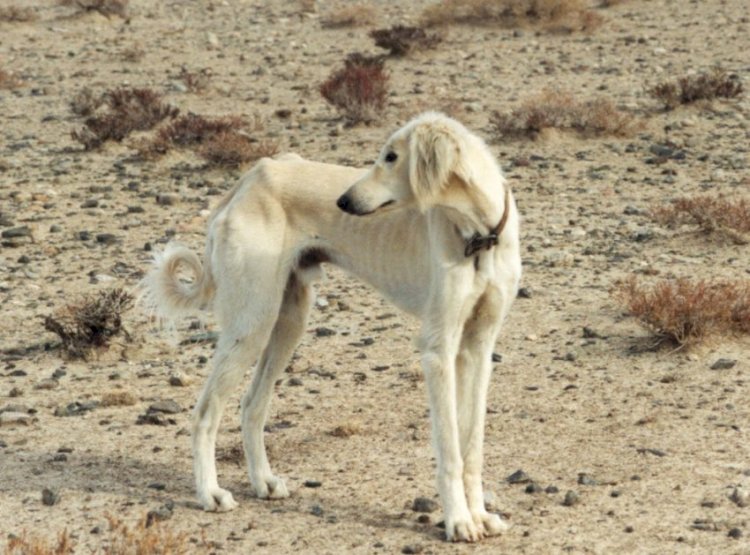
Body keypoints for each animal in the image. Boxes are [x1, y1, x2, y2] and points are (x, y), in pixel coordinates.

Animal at [144, 113, 524, 544]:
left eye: (391, 157)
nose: (343, 202)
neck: (479, 234)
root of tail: (252, 176)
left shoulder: (478, 345)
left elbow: (470, 444)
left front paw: (481, 516)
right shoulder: (438, 349)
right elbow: (449, 448)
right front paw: (459, 520)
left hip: (288, 321)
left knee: (252, 404)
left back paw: (263, 482)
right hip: (252, 322)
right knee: (206, 411)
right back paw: (210, 493)